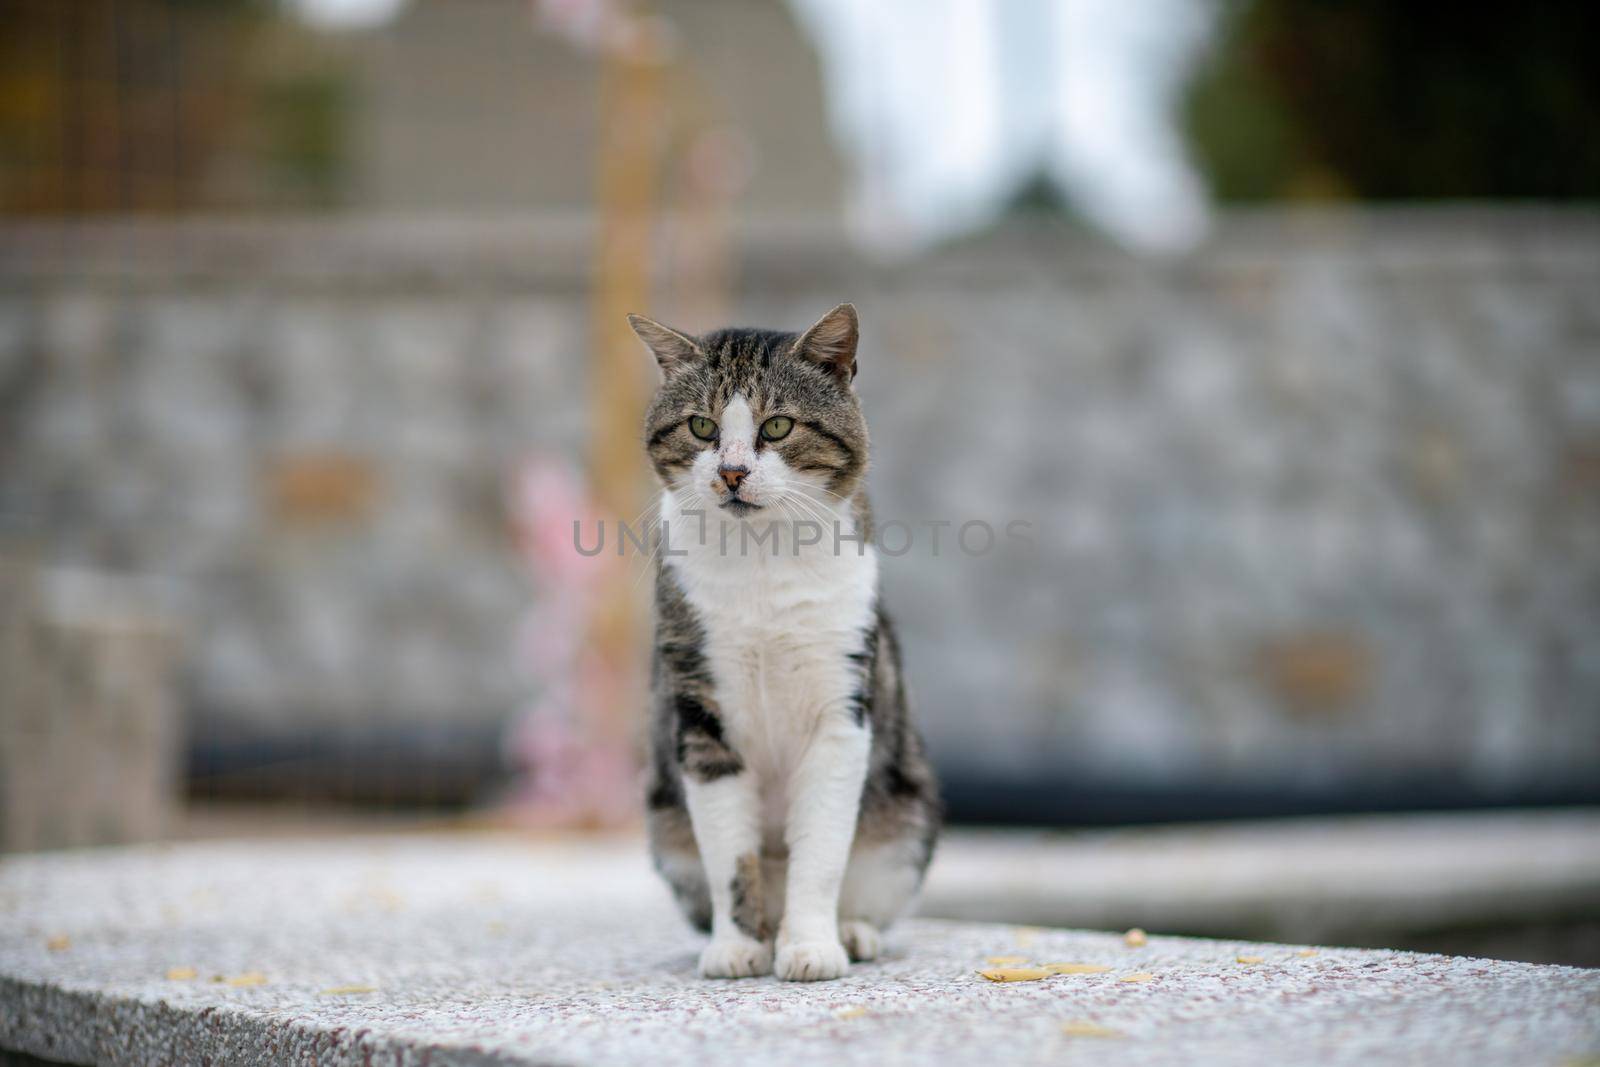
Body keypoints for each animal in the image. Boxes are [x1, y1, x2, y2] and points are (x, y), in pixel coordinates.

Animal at [630, 303, 940, 979]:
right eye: (701, 427)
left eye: (777, 426)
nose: (732, 471)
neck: (761, 559)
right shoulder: (702, 715)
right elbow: (730, 854)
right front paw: (736, 946)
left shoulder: (840, 710)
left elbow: (820, 851)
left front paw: (811, 946)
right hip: (666, 828)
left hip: (906, 822)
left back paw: (848, 932)